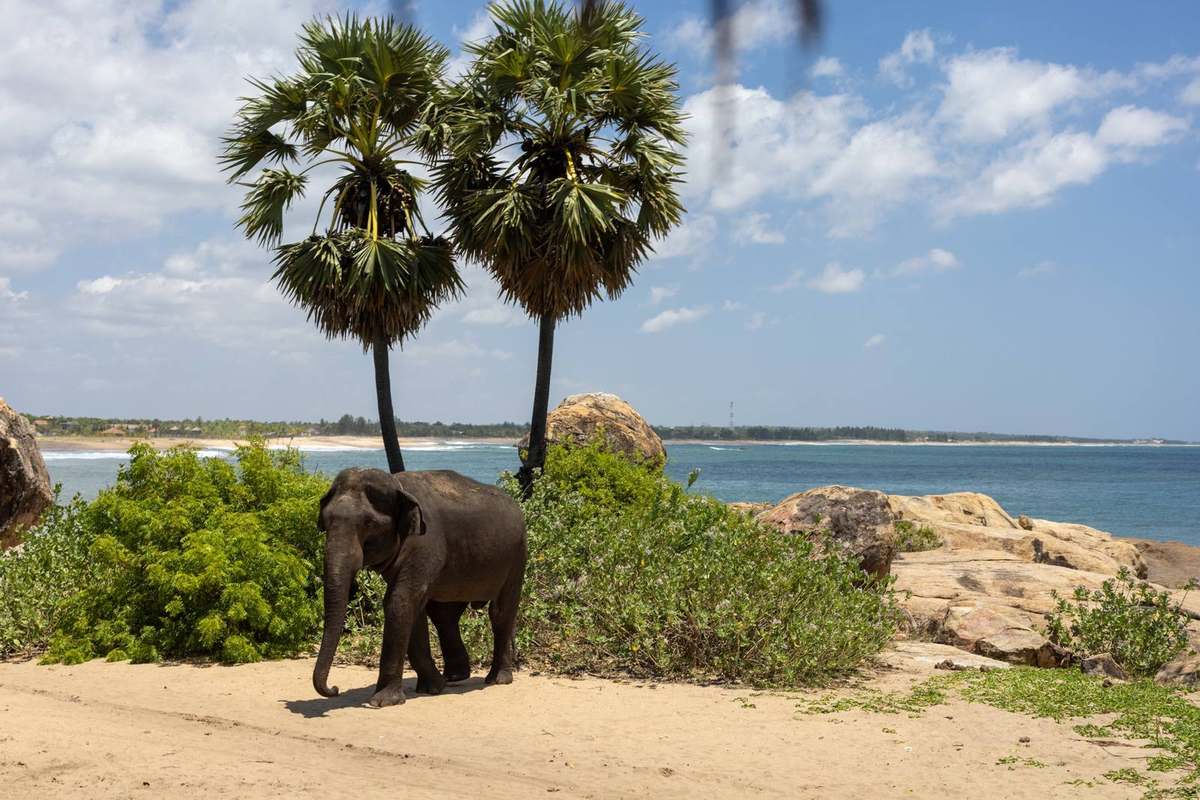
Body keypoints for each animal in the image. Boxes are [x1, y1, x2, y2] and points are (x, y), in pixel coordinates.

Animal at [312, 467, 527, 708]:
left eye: (369, 523)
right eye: (325, 521)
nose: (335, 689)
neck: (397, 485)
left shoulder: (425, 544)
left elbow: (399, 601)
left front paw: (381, 702)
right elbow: (410, 606)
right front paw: (433, 688)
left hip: (517, 555)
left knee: (500, 612)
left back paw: (497, 679)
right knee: (444, 614)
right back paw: (454, 677)